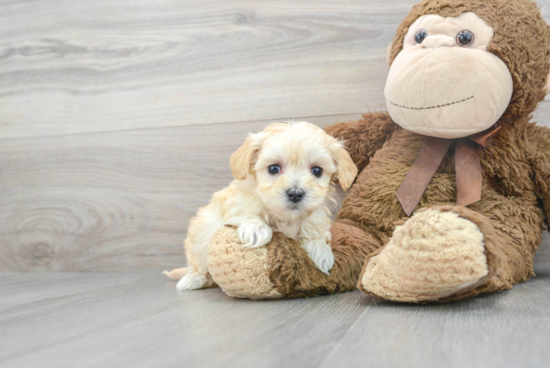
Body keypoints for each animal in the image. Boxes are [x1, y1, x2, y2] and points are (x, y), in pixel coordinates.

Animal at [166, 121, 360, 290]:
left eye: (317, 171)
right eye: (273, 169)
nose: (295, 193)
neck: (285, 217)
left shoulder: (315, 216)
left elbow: (314, 229)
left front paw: (321, 251)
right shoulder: (236, 201)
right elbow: (245, 210)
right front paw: (256, 229)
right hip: (201, 235)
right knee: (199, 267)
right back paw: (193, 279)